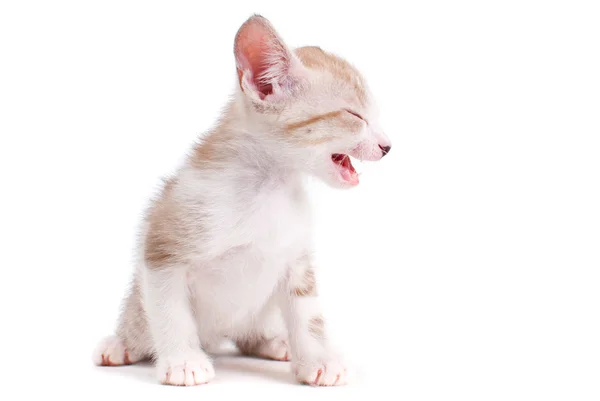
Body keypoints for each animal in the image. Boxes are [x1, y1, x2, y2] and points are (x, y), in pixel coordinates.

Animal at [91, 14, 392, 386]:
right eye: (355, 116)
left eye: (374, 117)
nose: (387, 145)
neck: (269, 186)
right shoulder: (163, 245)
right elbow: (170, 311)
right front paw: (183, 361)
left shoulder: (296, 260)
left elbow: (308, 315)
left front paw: (320, 359)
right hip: (138, 302)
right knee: (137, 321)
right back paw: (119, 345)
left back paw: (274, 342)